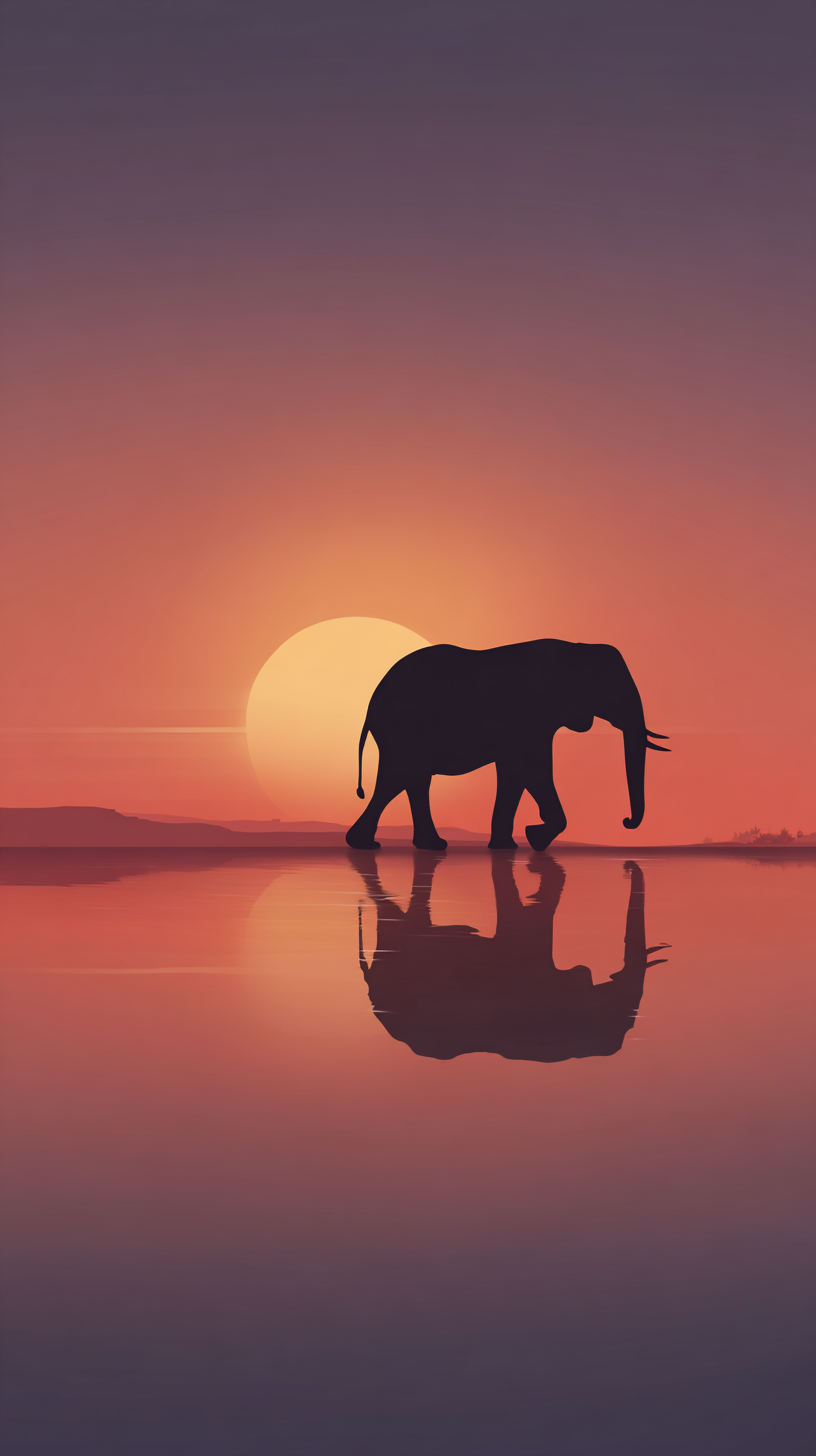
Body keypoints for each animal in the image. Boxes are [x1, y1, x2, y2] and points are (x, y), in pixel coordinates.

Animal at [345, 638, 668, 851]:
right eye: (609, 686)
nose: (625, 821)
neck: (577, 648)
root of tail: (371, 704)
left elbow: (515, 774)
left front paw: (508, 847)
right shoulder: (528, 716)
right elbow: (533, 771)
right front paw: (534, 838)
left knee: (411, 781)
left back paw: (427, 846)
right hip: (402, 731)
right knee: (396, 779)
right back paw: (369, 846)